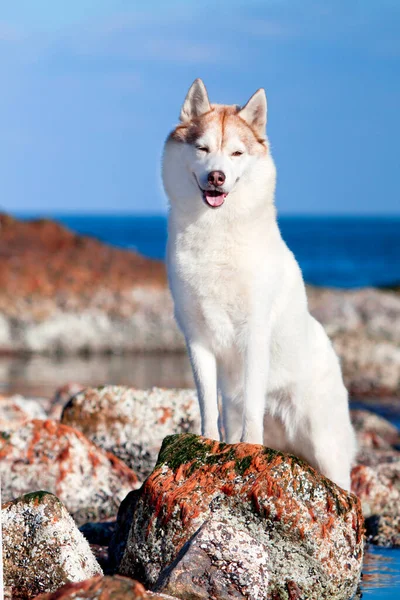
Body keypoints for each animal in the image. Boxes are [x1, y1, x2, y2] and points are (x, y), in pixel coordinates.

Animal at [162, 78, 356, 492]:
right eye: (203, 149)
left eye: (236, 153)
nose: (216, 176)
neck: (216, 234)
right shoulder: (196, 337)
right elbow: (207, 402)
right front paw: (207, 440)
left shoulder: (253, 332)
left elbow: (253, 402)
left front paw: (249, 445)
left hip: (326, 448)